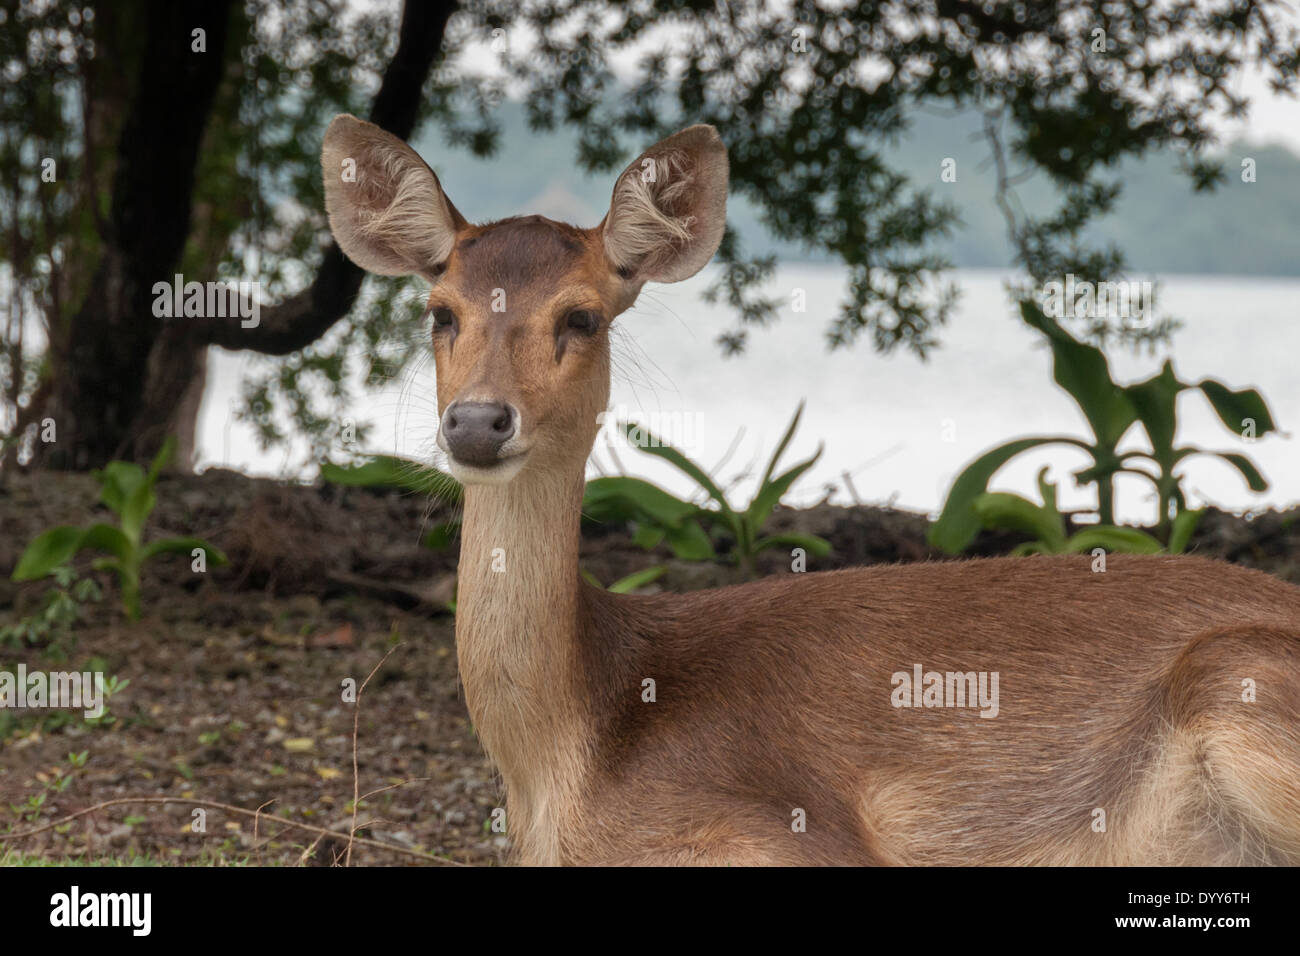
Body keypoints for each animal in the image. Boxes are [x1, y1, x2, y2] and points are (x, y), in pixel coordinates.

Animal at [322, 113, 1300, 868]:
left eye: (582, 315)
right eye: (439, 311)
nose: (478, 422)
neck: (569, 758)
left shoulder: (791, 830)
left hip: (1237, 680)